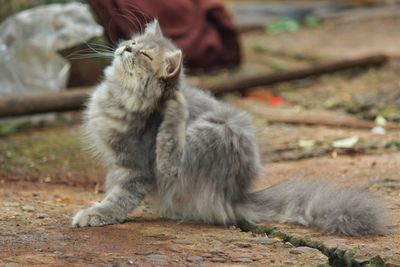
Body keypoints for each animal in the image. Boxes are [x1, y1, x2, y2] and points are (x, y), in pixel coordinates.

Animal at [72, 19, 388, 237]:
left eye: (144, 56)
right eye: (134, 41)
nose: (126, 47)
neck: (118, 97)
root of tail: (235, 195)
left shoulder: (137, 170)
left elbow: (120, 198)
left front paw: (96, 213)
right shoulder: (116, 165)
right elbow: (112, 187)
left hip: (214, 131)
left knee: (172, 159)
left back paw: (176, 108)